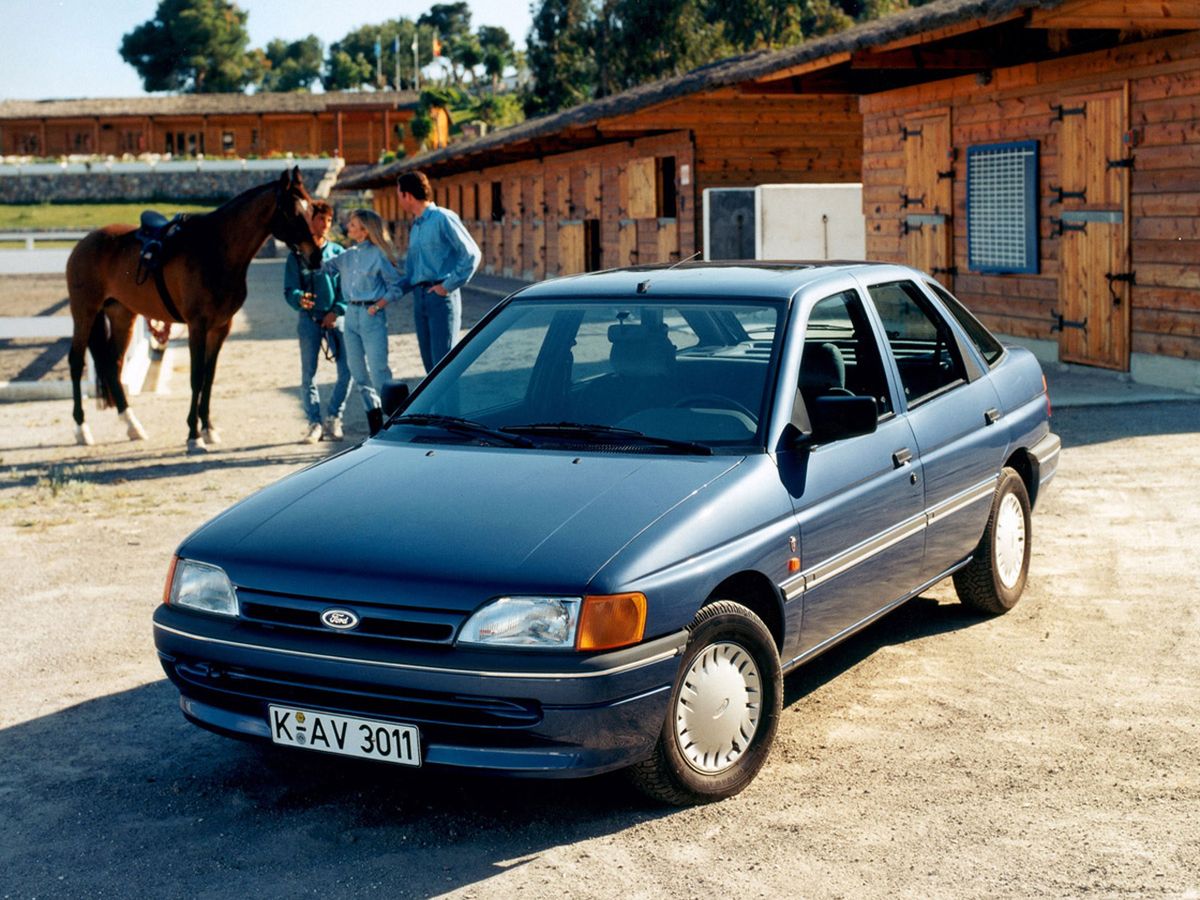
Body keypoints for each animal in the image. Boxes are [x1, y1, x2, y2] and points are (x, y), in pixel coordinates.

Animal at [65, 168, 319, 448]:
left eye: (312, 209)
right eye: (292, 212)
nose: (316, 256)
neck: (216, 250)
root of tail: (84, 243)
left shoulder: (220, 328)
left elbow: (209, 376)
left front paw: (208, 428)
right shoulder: (197, 326)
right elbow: (197, 376)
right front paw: (193, 435)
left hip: (121, 314)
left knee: (113, 364)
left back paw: (133, 425)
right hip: (84, 312)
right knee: (76, 362)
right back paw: (81, 429)